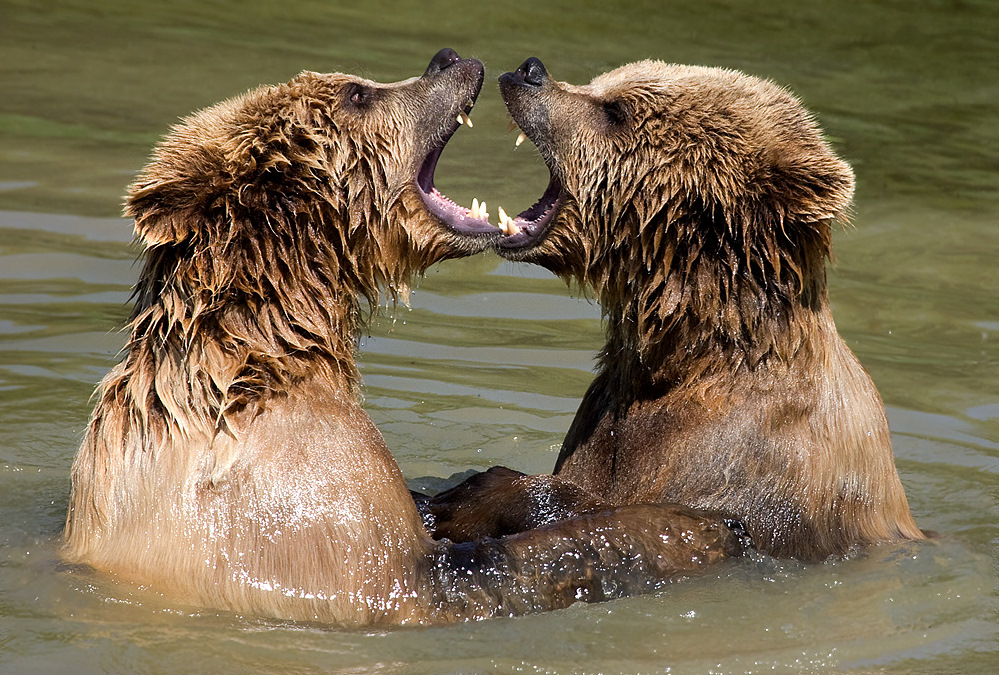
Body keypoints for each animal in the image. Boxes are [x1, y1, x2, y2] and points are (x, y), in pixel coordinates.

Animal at [62, 51, 752, 628]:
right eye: (358, 92)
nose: (448, 57)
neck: (275, 346)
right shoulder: (308, 495)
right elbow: (449, 575)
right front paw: (693, 528)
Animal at [426, 58, 924, 564]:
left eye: (617, 110)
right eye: (602, 84)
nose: (529, 70)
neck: (692, 352)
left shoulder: (753, 455)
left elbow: (657, 520)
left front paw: (479, 493)